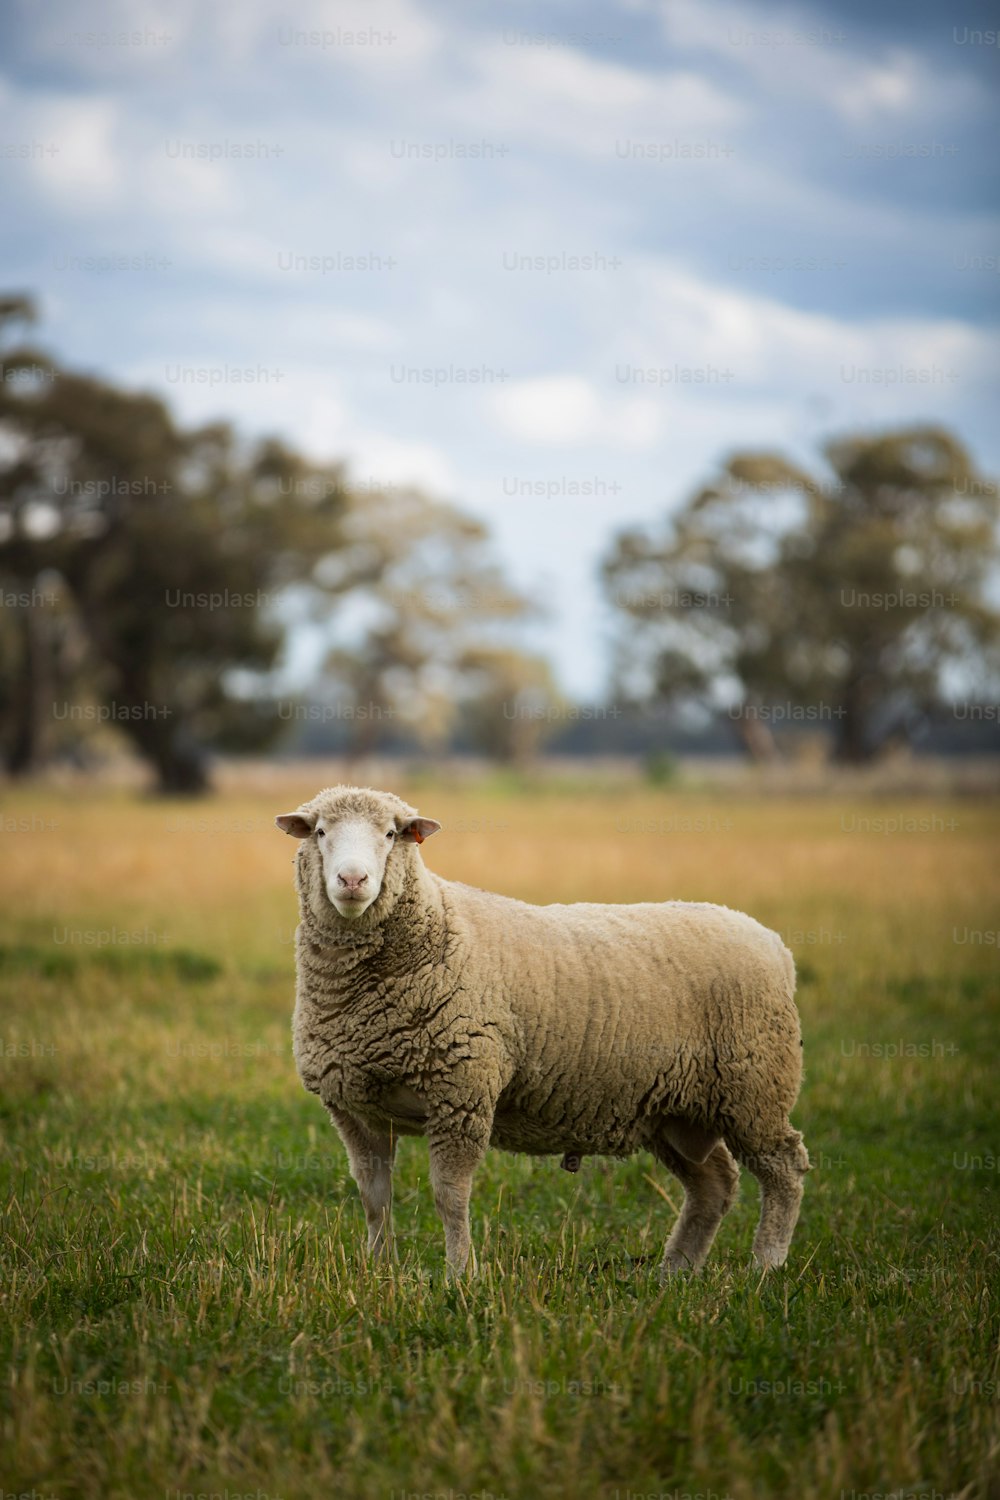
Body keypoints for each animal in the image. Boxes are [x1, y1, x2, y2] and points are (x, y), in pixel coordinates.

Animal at [277, 780, 809, 1284]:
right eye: (320, 832)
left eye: (391, 834)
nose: (352, 880)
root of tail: (774, 943)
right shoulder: (354, 1109)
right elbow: (374, 1198)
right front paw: (377, 1271)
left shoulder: (461, 1095)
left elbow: (450, 1196)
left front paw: (459, 1275)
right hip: (676, 1109)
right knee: (713, 1184)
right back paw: (675, 1272)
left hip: (755, 1087)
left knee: (785, 1168)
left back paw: (766, 1264)